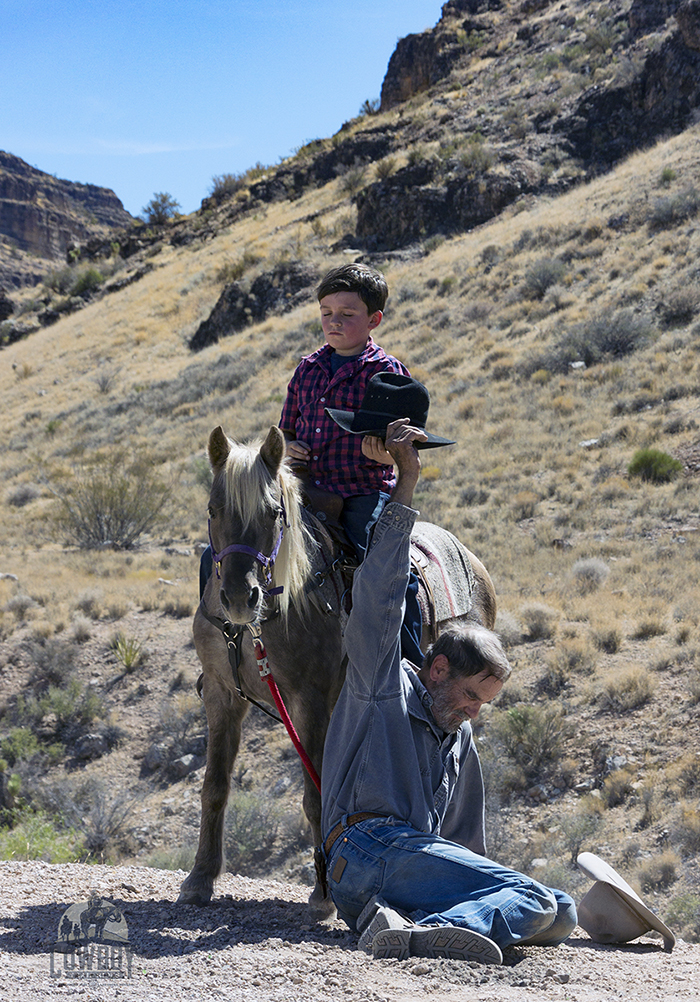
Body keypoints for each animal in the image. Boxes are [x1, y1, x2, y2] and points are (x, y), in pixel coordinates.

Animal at [180, 422, 498, 917]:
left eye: (274, 513)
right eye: (214, 510)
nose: (238, 597)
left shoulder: (309, 700)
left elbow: (315, 795)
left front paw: (323, 895)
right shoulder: (221, 693)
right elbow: (214, 785)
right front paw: (199, 879)